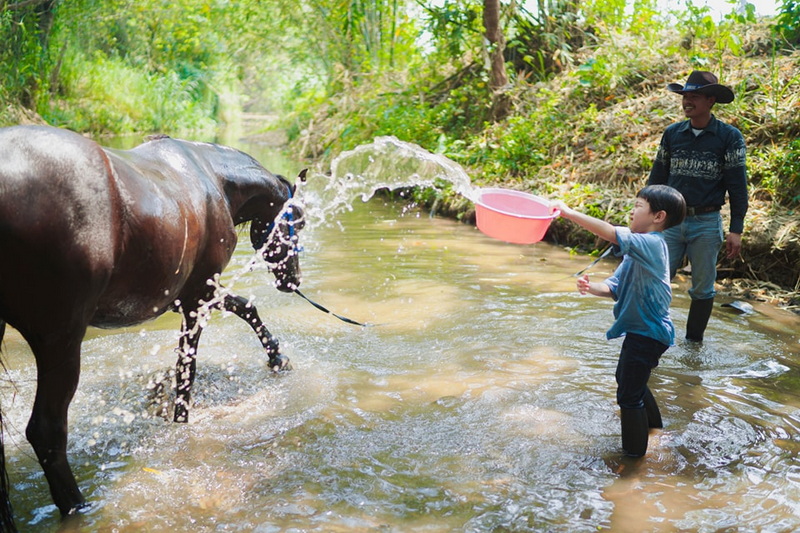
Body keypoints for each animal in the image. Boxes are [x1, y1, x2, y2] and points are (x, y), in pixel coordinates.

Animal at [0, 125, 305, 529]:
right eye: (297, 221)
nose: (293, 281)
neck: (217, 181)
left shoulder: (195, 293)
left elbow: (245, 307)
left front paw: (277, 358)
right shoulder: (196, 300)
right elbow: (186, 372)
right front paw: (180, 422)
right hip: (60, 341)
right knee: (47, 431)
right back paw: (78, 507)